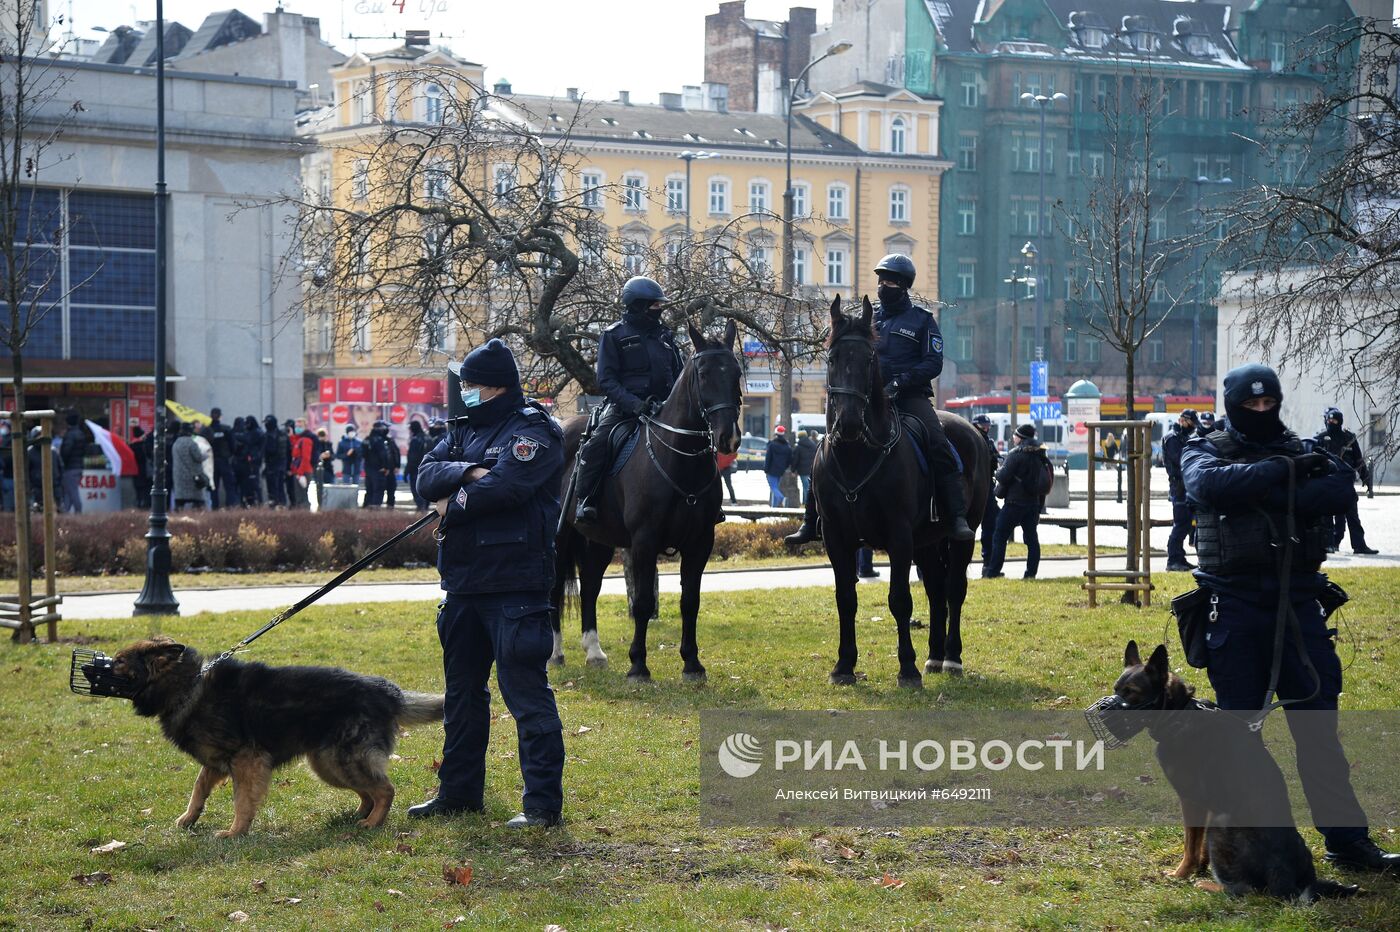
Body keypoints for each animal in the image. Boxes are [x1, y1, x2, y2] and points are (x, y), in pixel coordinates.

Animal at [113, 635, 442, 828]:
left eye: (118, 661)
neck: (188, 685)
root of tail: (389, 694)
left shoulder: (247, 760)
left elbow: (242, 801)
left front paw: (235, 833)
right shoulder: (217, 763)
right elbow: (198, 789)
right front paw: (188, 818)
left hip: (340, 760)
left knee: (385, 789)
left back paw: (372, 823)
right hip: (327, 764)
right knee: (369, 790)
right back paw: (359, 814)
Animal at [546, 321, 744, 682]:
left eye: (735, 372)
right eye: (704, 373)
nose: (729, 438)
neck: (679, 460)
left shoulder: (700, 542)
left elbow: (690, 602)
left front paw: (692, 664)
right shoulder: (644, 541)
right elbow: (641, 604)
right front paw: (638, 665)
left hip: (598, 540)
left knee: (590, 587)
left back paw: (594, 651)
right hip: (559, 537)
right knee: (554, 589)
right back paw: (555, 652)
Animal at [817, 295, 991, 682]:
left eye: (869, 359)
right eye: (832, 358)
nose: (849, 422)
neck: (856, 454)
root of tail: (972, 429)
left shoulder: (898, 537)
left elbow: (899, 599)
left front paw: (907, 668)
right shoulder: (837, 537)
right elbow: (844, 599)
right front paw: (843, 665)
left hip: (962, 534)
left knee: (954, 590)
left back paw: (951, 657)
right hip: (926, 541)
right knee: (936, 590)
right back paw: (935, 656)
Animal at [1103, 643, 1355, 895]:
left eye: (1131, 691)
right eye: (1116, 688)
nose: (1103, 713)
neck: (1179, 713)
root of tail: (1287, 881)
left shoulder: (1191, 800)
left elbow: (1190, 845)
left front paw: (1181, 874)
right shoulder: (1208, 803)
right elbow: (1200, 846)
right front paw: (1201, 867)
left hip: (1220, 824)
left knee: (1245, 891)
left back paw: (1209, 885)